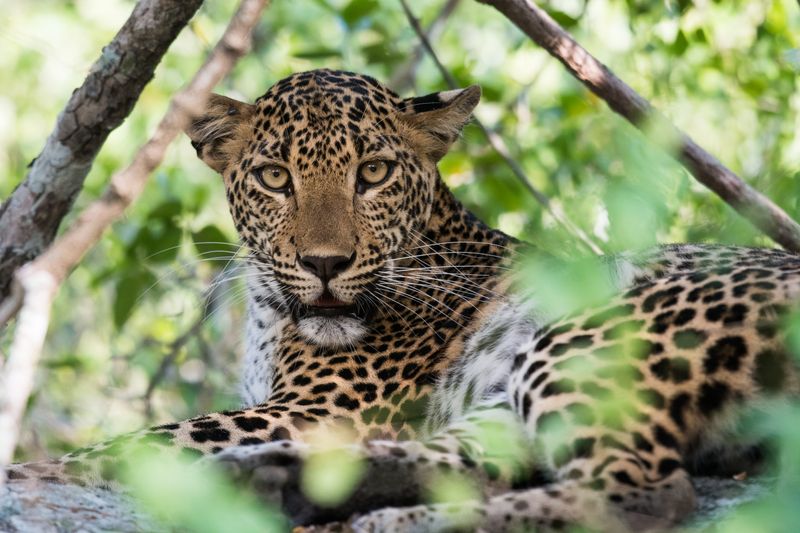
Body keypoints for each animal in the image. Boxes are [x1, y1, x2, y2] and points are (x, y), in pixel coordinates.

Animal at [6, 67, 800, 532]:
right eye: (273, 177)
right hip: (503, 396)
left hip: (594, 334)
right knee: (469, 469)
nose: (326, 264)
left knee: (641, 493)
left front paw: (35, 472)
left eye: (375, 173)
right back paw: (273, 481)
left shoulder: (319, 407)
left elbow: (142, 439)